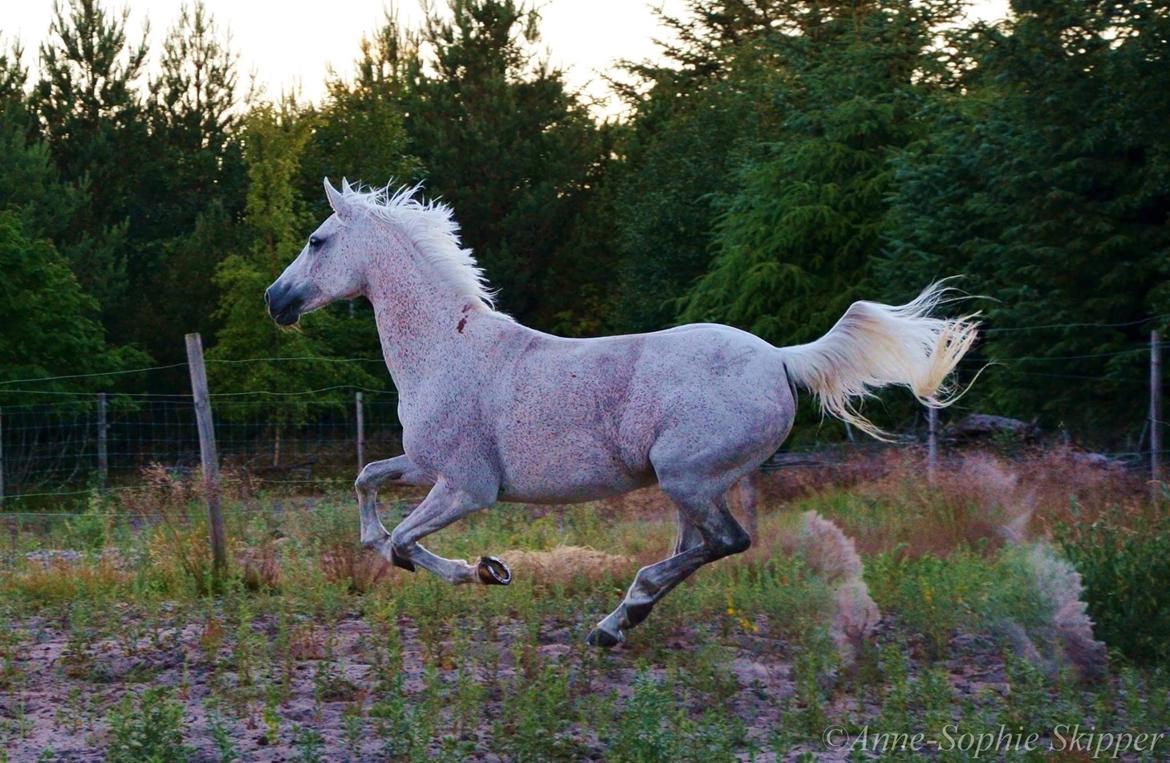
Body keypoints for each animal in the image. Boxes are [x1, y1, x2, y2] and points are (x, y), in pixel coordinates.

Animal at [267, 181, 978, 645]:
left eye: (316, 240)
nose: (274, 300)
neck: (449, 347)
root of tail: (779, 358)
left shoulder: (468, 487)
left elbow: (402, 544)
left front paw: (486, 571)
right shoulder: (425, 465)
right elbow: (368, 492)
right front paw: (482, 569)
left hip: (687, 477)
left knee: (726, 542)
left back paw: (622, 613)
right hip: (693, 484)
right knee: (699, 546)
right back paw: (617, 624)